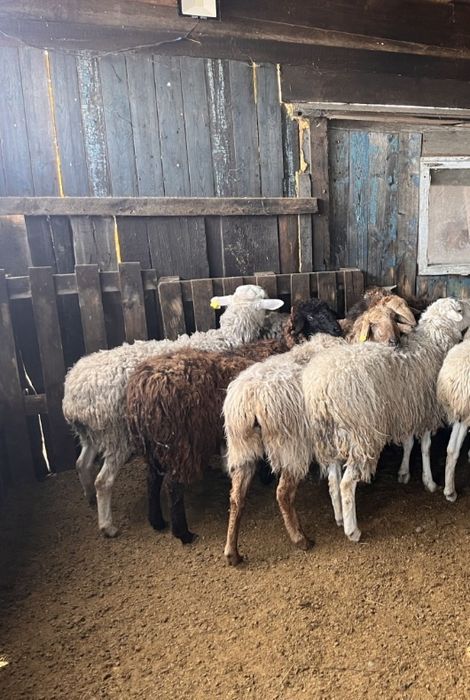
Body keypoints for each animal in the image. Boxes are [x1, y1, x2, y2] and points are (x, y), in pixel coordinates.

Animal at [62, 284, 284, 537]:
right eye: (264, 299)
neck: (226, 339)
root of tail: (72, 398)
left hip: (90, 434)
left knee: (82, 463)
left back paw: (89, 498)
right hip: (116, 434)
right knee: (103, 480)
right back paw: (108, 525)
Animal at [125, 299, 343, 544]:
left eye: (329, 311)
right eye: (311, 317)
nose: (337, 330)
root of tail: (142, 389)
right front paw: (266, 477)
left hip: (152, 446)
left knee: (152, 479)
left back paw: (156, 521)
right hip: (178, 444)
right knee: (173, 485)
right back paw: (183, 532)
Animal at [302, 297, 470, 545]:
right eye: (460, 309)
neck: (433, 341)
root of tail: (319, 390)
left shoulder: (408, 410)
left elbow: (409, 444)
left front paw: (404, 473)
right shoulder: (426, 410)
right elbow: (426, 447)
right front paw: (430, 482)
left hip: (330, 438)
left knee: (333, 480)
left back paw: (339, 517)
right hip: (362, 435)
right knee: (346, 483)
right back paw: (352, 530)